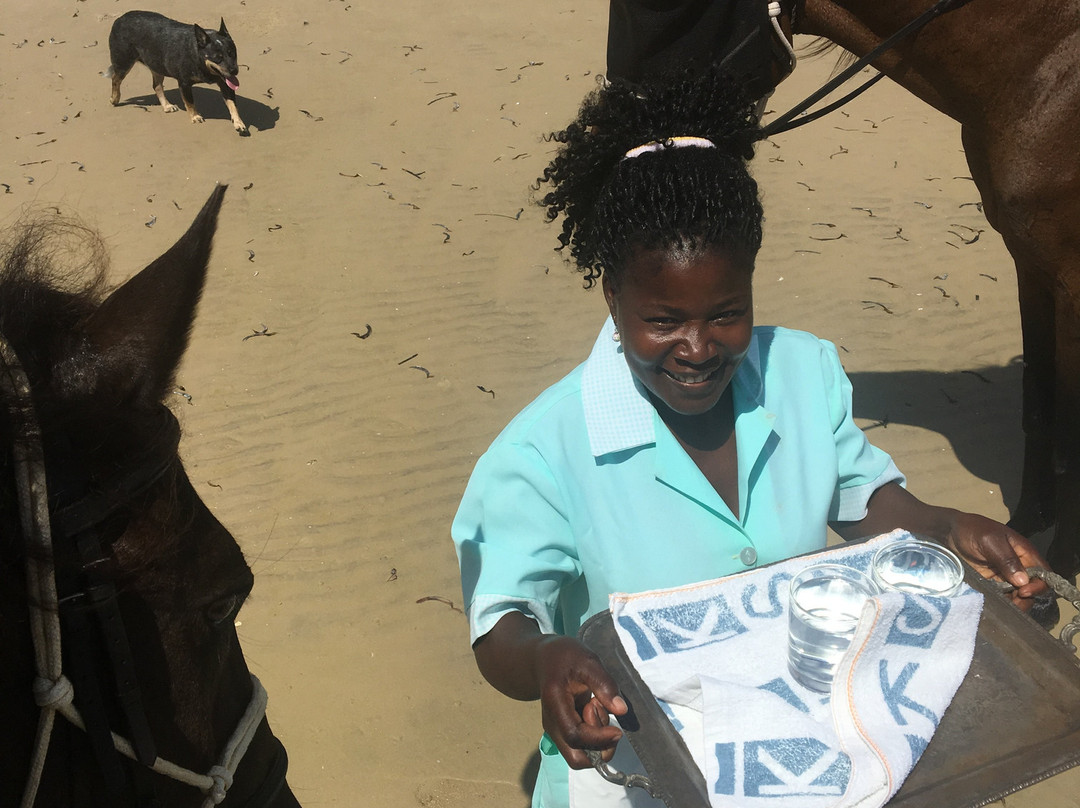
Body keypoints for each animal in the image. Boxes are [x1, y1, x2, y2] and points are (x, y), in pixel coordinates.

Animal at [106, 11, 247, 133]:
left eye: (232, 53)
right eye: (218, 58)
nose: (234, 71)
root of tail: (120, 18)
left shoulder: (225, 83)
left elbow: (233, 104)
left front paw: (238, 122)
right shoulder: (184, 83)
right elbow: (190, 102)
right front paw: (195, 116)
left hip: (157, 65)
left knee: (157, 86)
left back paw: (166, 106)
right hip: (124, 62)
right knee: (115, 79)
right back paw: (114, 98)